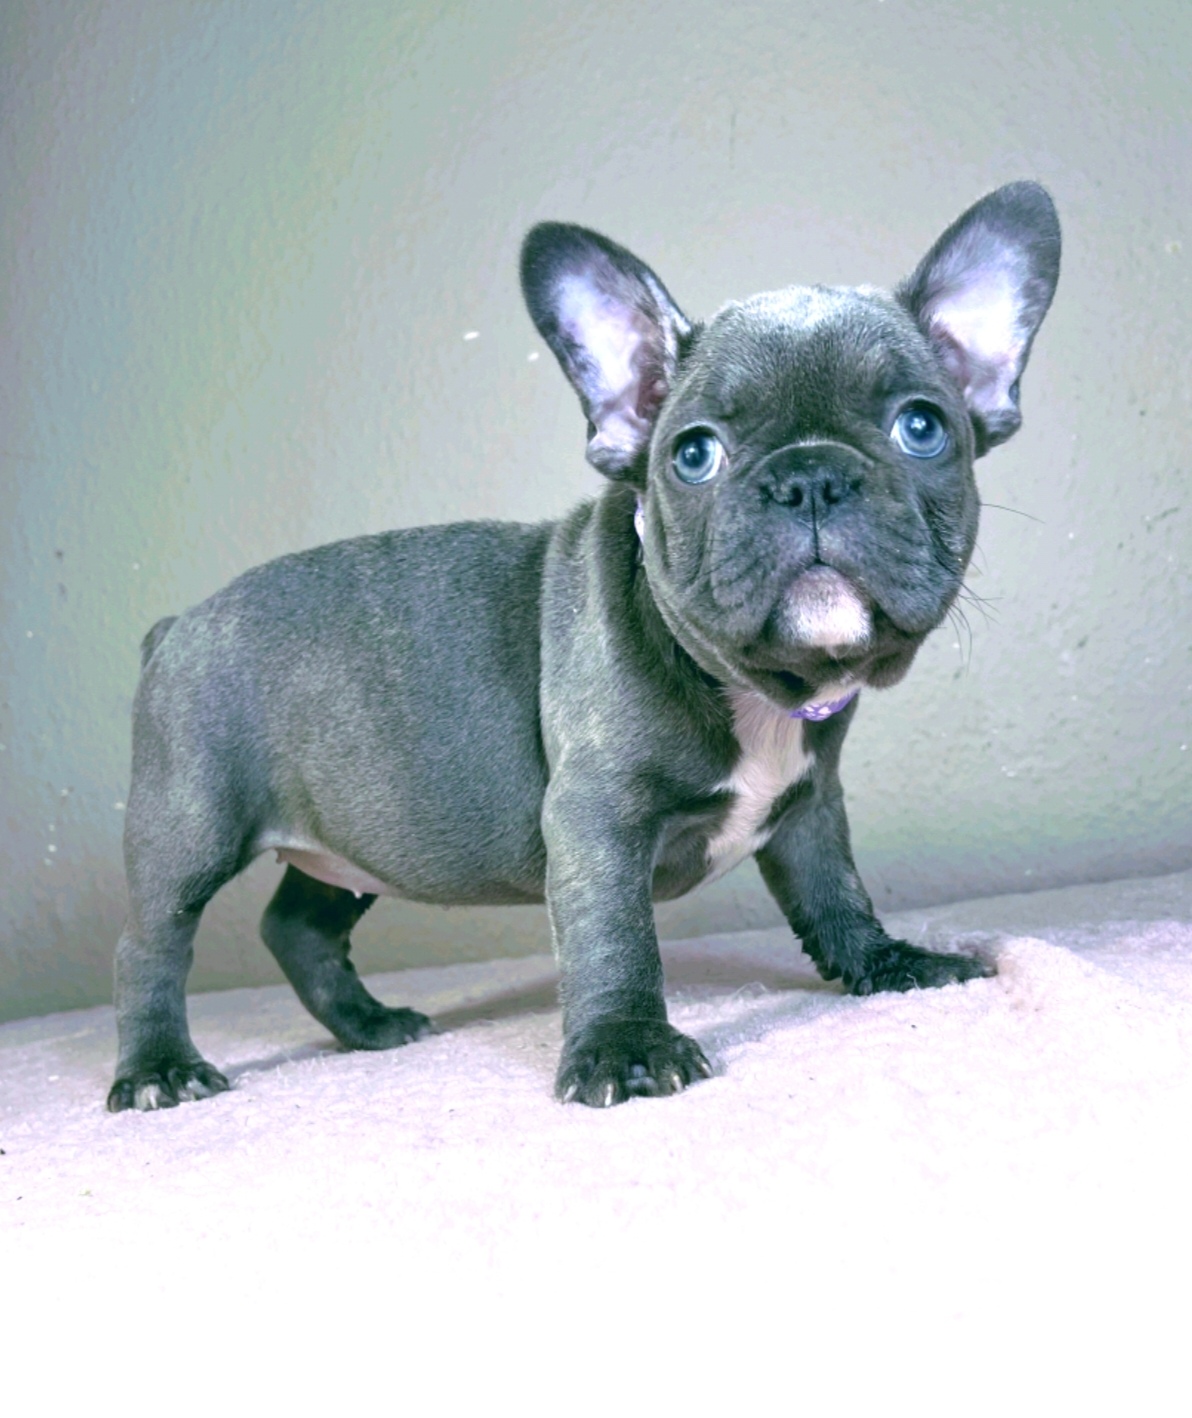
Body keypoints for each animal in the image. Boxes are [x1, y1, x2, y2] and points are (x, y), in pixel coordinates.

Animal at [107, 182, 1060, 1112]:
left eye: (922, 428)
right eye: (694, 454)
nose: (810, 476)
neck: (756, 691)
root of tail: (174, 625)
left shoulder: (809, 806)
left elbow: (836, 894)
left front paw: (889, 964)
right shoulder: (596, 817)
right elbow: (614, 933)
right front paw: (626, 1048)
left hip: (344, 838)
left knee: (298, 926)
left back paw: (369, 1026)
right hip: (190, 825)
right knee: (152, 943)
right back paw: (159, 1069)